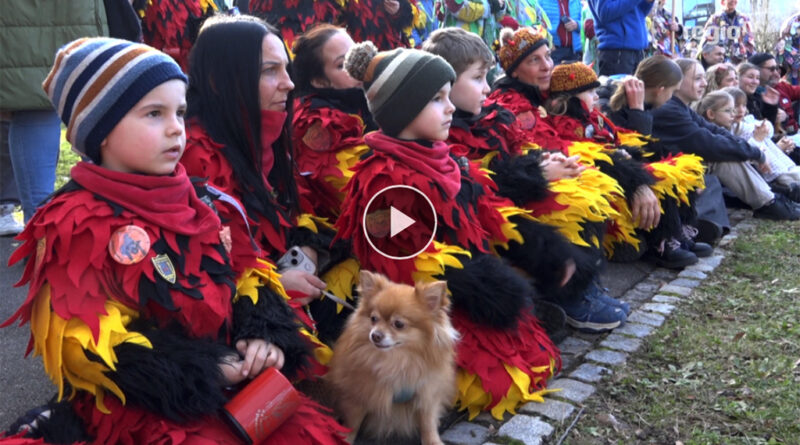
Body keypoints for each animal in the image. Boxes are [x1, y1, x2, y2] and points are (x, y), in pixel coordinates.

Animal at [328, 268, 460, 442]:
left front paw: (433, 441)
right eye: (373, 319)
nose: (375, 335)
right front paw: (344, 440)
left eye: (398, 324)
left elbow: (428, 423)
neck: (397, 360)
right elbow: (353, 424)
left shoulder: (427, 393)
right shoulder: (359, 394)